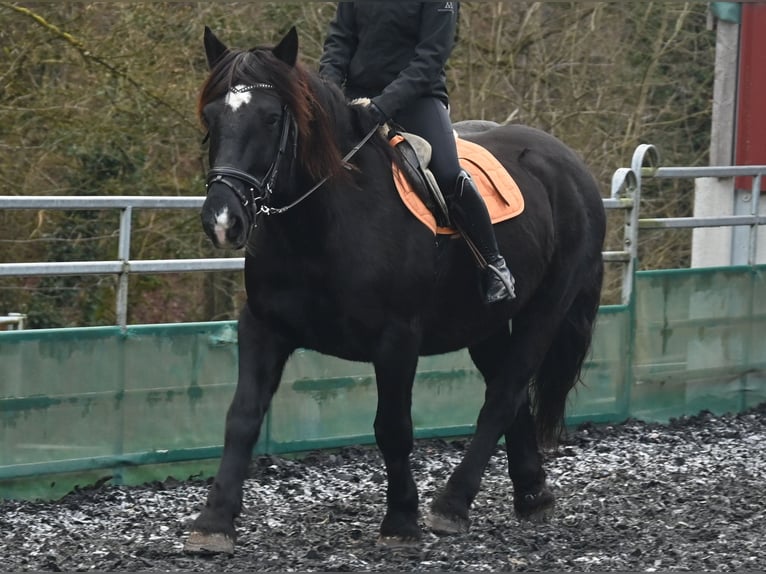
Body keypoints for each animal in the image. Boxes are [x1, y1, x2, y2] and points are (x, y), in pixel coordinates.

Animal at [186, 27, 608, 560]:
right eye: (211, 116)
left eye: (271, 117)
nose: (222, 221)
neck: (322, 225)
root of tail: (570, 165)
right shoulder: (263, 327)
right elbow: (241, 418)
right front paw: (214, 521)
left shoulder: (397, 340)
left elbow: (392, 428)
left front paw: (402, 519)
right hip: (485, 323)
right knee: (509, 398)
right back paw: (532, 494)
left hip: (546, 309)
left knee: (504, 393)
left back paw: (452, 504)